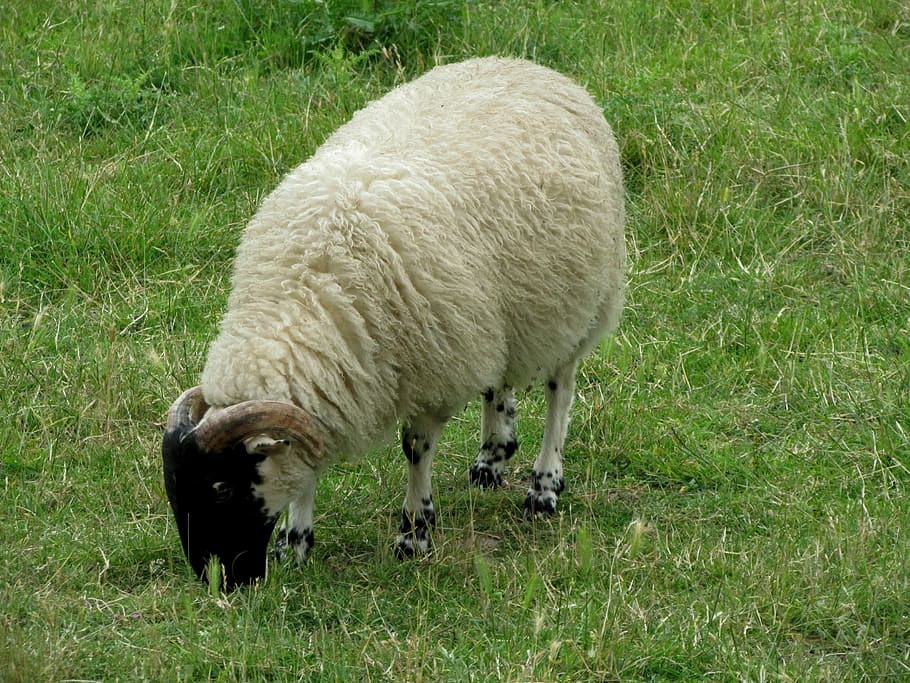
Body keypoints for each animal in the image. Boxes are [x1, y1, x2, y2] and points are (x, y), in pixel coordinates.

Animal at [162, 56, 625, 587]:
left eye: (220, 487)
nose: (216, 579)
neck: (313, 291)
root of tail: (529, 65)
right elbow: (307, 465)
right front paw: (294, 542)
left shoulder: (434, 376)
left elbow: (415, 450)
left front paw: (414, 534)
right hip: (497, 311)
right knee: (499, 380)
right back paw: (492, 455)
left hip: (577, 302)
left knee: (559, 391)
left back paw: (544, 486)